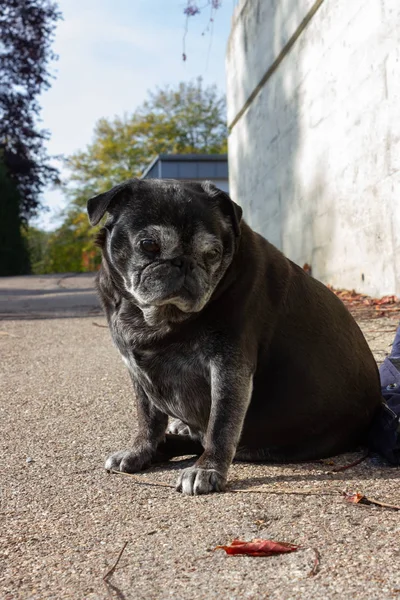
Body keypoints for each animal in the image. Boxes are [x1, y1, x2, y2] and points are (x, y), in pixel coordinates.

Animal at [87, 179, 382, 496]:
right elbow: (148, 419)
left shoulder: (229, 369)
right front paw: (141, 451)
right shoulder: (139, 374)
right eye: (148, 245)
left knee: (205, 438)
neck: (158, 318)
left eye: (212, 254)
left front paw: (207, 469)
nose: (183, 263)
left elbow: (221, 424)